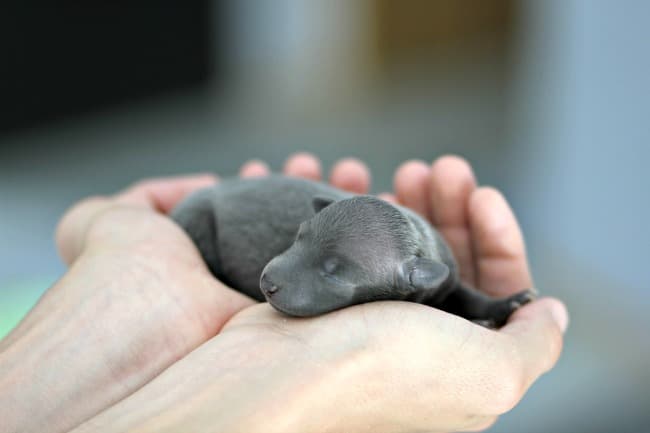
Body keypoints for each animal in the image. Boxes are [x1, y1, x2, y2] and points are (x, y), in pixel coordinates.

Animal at [172, 174, 532, 326]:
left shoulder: (446, 277)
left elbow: (467, 294)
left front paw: (506, 302)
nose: (267, 284)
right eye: (298, 236)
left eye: (334, 272)